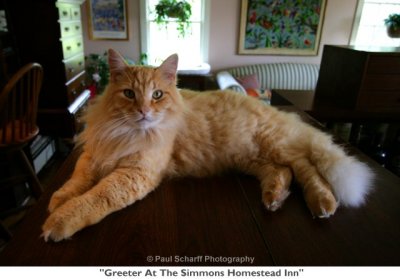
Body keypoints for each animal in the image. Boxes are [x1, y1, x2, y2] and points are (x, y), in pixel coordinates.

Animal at [42, 49, 374, 242]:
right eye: (128, 94)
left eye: (157, 95)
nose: (144, 112)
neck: (125, 132)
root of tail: (278, 114)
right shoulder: (92, 155)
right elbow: (76, 181)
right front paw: (58, 200)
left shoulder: (134, 174)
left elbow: (94, 198)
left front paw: (59, 221)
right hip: (252, 158)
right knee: (282, 172)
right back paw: (274, 197)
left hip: (273, 144)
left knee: (305, 167)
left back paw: (322, 202)